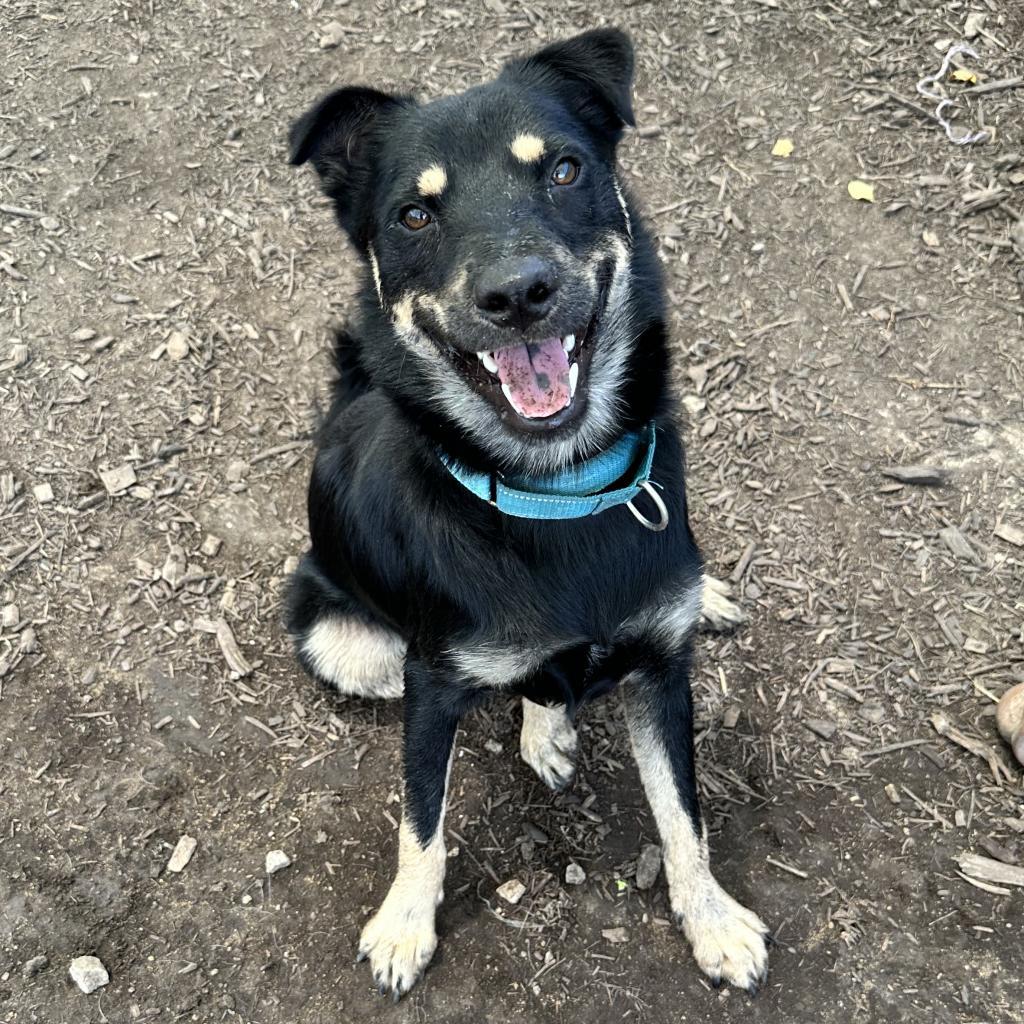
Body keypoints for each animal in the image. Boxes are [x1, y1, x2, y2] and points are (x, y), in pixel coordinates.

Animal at [288, 29, 770, 999]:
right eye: (414, 215)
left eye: (563, 169)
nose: (518, 293)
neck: (558, 495)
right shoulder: (433, 685)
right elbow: (421, 821)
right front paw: (404, 926)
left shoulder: (663, 668)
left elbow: (684, 814)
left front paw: (712, 921)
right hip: (353, 646)